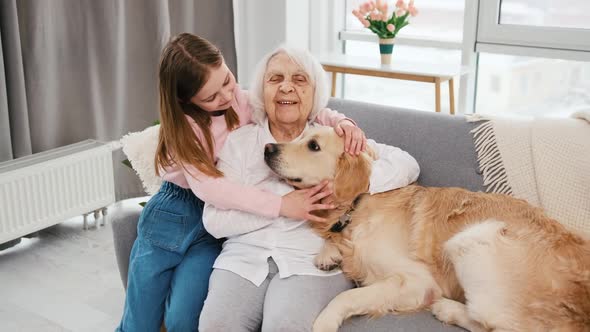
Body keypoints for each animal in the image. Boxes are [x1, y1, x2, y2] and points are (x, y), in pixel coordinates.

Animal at [264, 127, 590, 332]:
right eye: (300, 135)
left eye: (313, 145)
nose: (268, 147)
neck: (360, 204)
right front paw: (328, 254)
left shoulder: (416, 282)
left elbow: (346, 297)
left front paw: (325, 321)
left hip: (472, 238)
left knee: (496, 326)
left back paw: (448, 309)